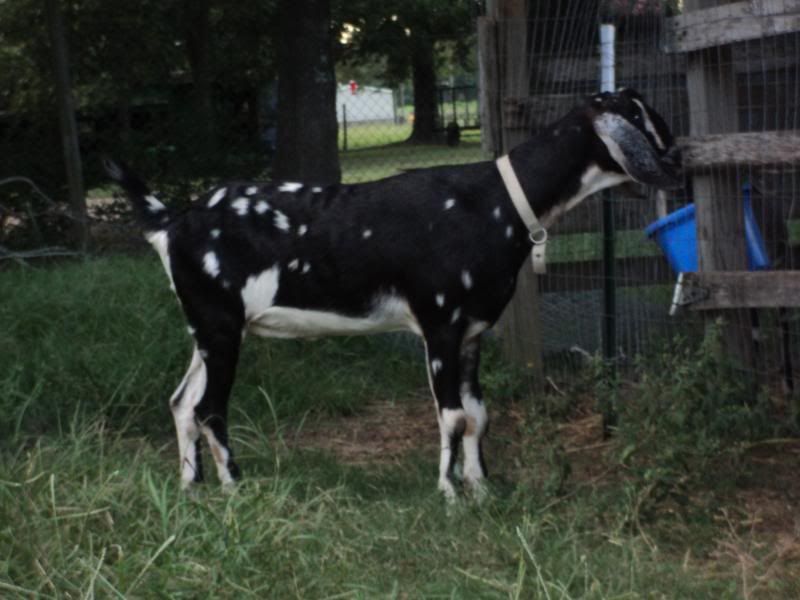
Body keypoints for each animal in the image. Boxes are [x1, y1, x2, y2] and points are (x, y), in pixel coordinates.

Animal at [105, 89, 681, 500]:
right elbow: (453, 416)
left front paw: (482, 488)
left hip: (205, 331)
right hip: (221, 327)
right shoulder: (440, 326)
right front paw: (449, 493)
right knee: (209, 409)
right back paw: (234, 486)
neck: (495, 201)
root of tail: (173, 222)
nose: (681, 163)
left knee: (182, 403)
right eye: (651, 124)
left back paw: (191, 487)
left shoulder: (471, 335)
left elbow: (479, 414)